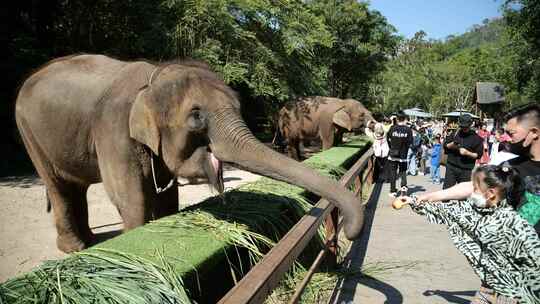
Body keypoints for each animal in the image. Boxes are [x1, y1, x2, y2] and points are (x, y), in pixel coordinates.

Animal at [14, 55, 364, 254]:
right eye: (197, 117)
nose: (347, 232)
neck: (155, 76)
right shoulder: (114, 128)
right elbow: (129, 195)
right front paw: (131, 242)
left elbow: (167, 198)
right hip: (28, 131)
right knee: (60, 188)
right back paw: (76, 249)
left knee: (74, 188)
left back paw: (87, 243)